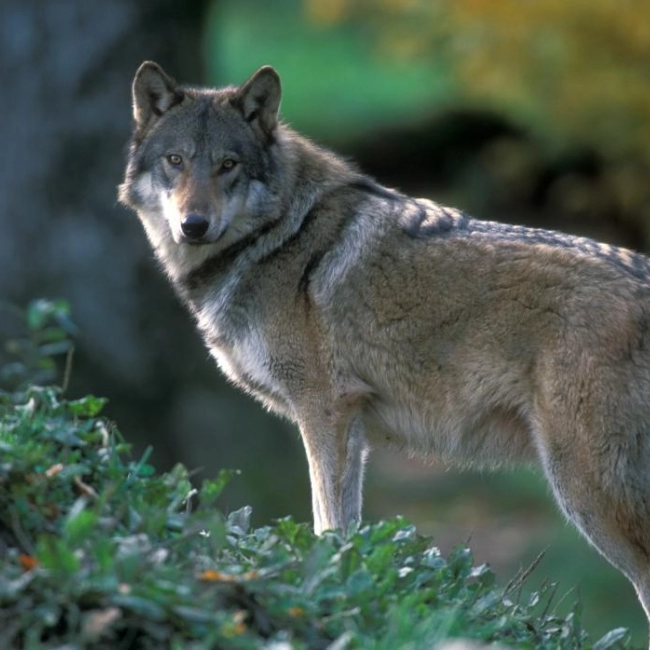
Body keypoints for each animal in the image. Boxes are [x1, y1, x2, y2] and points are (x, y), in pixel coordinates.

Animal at [119, 61, 650, 633]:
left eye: (228, 165)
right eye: (175, 161)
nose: (193, 225)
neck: (278, 236)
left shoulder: (324, 412)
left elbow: (325, 523)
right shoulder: (351, 426)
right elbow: (344, 529)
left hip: (586, 490)